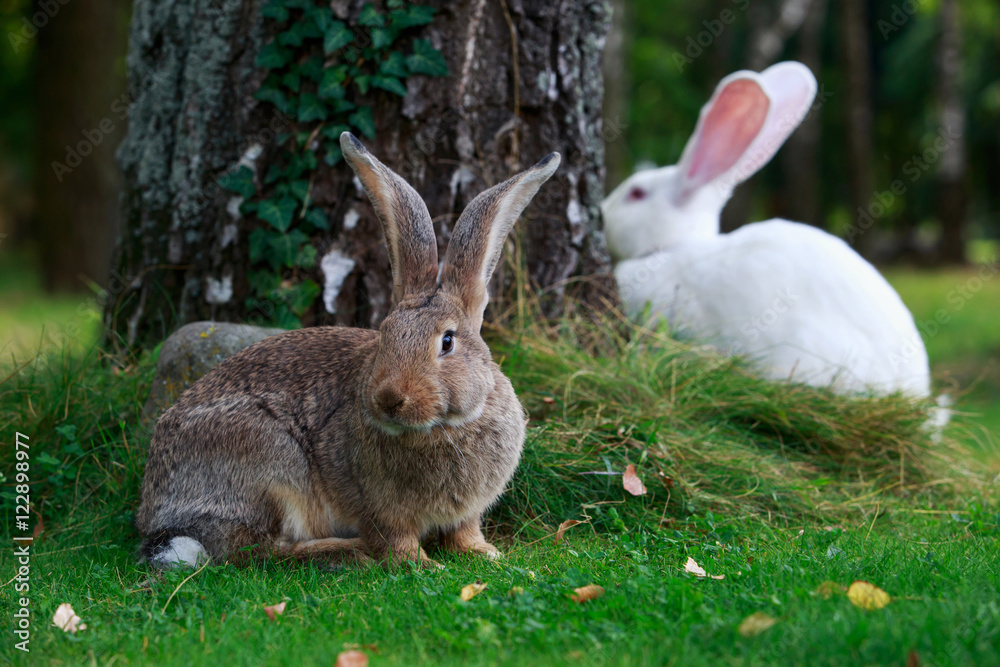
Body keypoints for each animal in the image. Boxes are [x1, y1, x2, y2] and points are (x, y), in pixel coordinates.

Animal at [135, 132, 562, 569]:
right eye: (385, 335)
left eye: (447, 341)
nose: (389, 398)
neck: (443, 427)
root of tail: (159, 516)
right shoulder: (380, 509)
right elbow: (397, 541)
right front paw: (426, 565)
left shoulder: (467, 512)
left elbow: (465, 532)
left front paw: (486, 554)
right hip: (270, 462)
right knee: (256, 551)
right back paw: (348, 551)